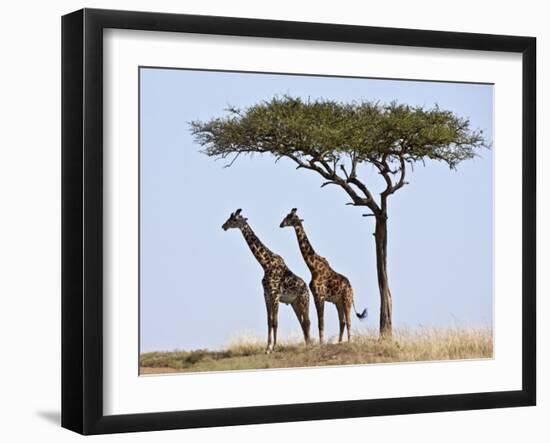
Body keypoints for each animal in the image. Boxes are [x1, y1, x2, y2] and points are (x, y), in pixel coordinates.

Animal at [223, 209, 310, 354]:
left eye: (234, 219)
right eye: (229, 218)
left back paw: (310, 344)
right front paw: (267, 348)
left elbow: (275, 322)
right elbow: (269, 321)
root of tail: (306, 288)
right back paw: (307, 343)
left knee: (307, 321)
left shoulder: (275, 295)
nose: (223, 226)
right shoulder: (266, 295)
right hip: (295, 303)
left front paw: (273, 348)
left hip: (304, 301)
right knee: (303, 322)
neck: (265, 264)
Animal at [282, 210, 368, 346]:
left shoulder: (320, 296)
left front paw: (321, 343)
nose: (281, 224)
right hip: (338, 302)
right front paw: (322, 342)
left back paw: (349, 341)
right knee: (342, 321)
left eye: (290, 217)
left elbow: (321, 323)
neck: (313, 267)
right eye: (286, 216)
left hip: (347, 299)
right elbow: (320, 322)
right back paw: (339, 342)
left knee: (348, 321)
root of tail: (351, 288)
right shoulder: (316, 296)